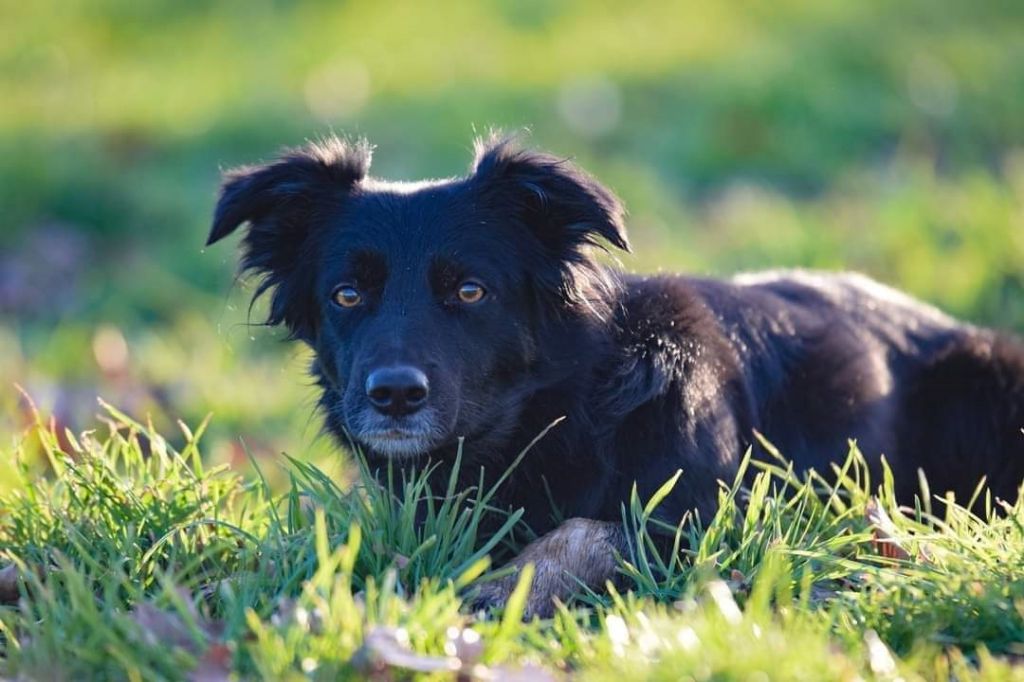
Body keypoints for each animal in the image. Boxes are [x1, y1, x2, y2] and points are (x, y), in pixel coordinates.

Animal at [205, 133, 1024, 614]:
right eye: (347, 295)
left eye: (470, 291)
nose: (394, 396)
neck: (555, 414)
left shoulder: (709, 516)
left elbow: (583, 532)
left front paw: (492, 590)